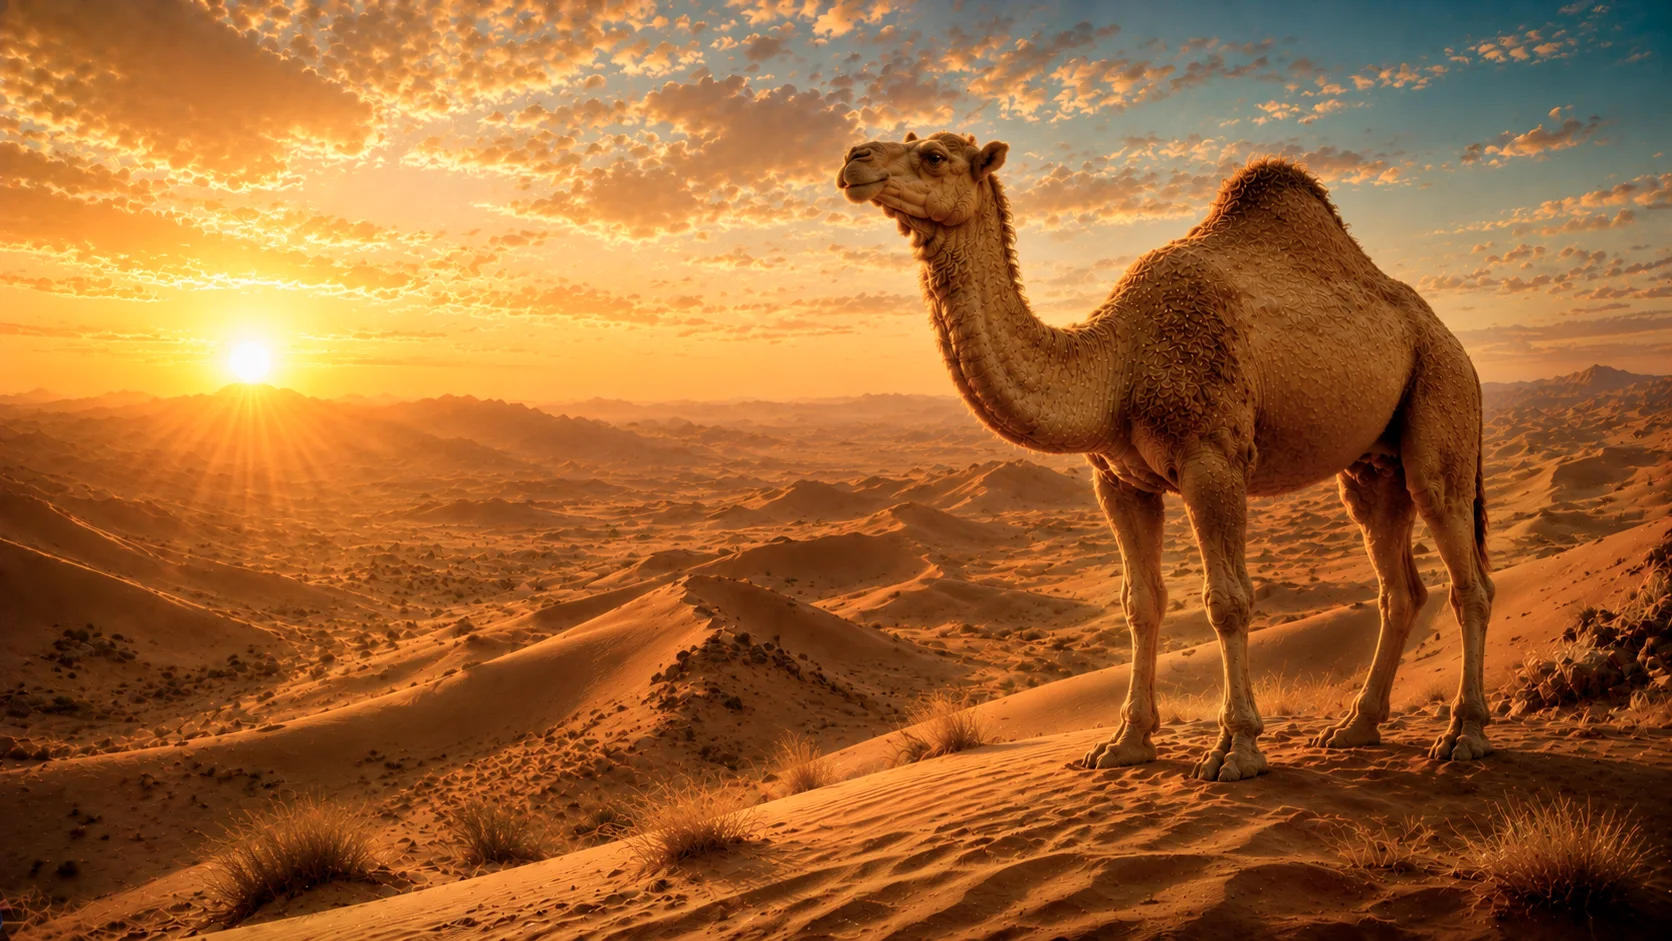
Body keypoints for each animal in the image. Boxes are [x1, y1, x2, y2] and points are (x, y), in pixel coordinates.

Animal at [836, 132, 1494, 782]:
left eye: (933, 155)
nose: (852, 159)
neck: (1116, 364)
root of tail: (1452, 340)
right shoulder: (1119, 481)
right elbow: (1140, 603)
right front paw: (1124, 743)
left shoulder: (1213, 458)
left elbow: (1227, 601)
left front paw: (1236, 749)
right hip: (1373, 466)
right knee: (1398, 584)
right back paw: (1355, 728)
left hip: (1441, 395)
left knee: (1465, 569)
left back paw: (1463, 735)